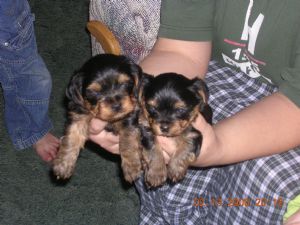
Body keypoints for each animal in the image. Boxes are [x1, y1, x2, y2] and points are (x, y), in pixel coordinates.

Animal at [52, 52, 143, 181]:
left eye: (124, 83)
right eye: (94, 92)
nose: (116, 105)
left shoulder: (130, 114)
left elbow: (128, 139)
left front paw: (132, 167)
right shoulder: (78, 113)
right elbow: (71, 136)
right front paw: (63, 164)